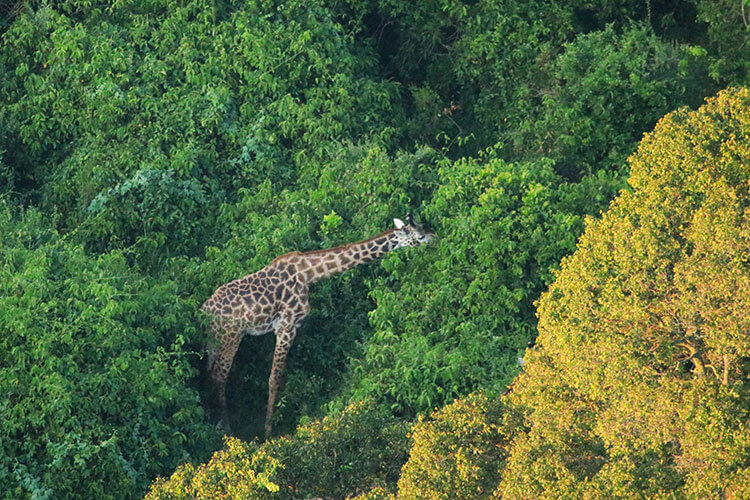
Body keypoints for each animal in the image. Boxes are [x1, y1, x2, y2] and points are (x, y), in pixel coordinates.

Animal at [201, 215, 434, 438]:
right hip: (231, 336)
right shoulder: (287, 325)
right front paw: (268, 432)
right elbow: (274, 378)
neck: (309, 274)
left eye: (424, 227)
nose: (435, 235)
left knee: (208, 372)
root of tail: (205, 311)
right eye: (420, 236)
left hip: (214, 340)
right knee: (219, 376)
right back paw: (229, 430)